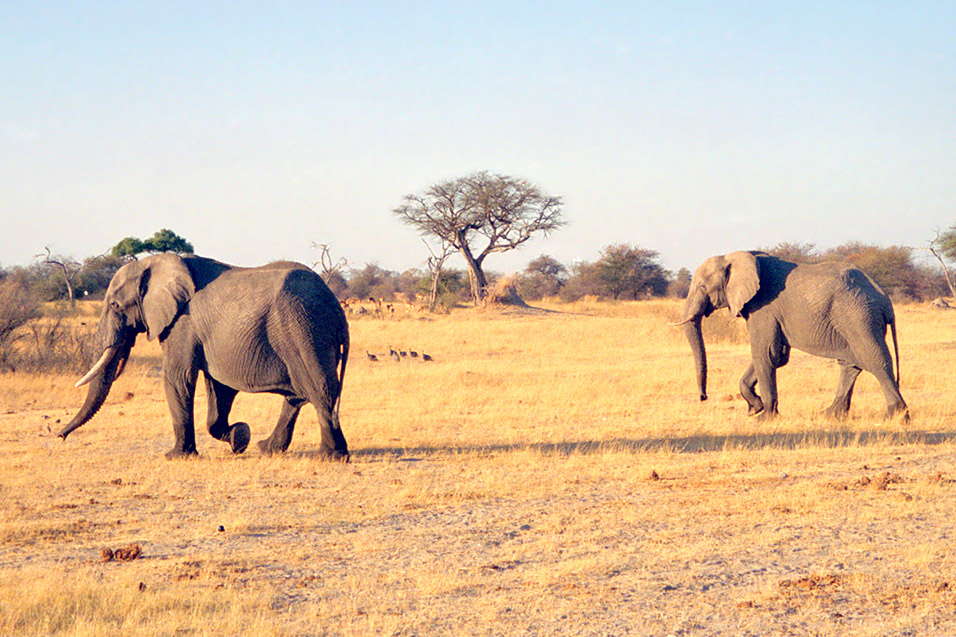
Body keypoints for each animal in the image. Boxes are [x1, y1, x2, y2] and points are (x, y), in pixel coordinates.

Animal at [56, 252, 350, 458]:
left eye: (115, 306)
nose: (60, 436)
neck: (157, 263)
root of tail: (337, 308)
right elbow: (219, 388)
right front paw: (240, 438)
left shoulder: (182, 323)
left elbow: (178, 377)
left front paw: (175, 456)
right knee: (298, 394)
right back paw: (267, 448)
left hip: (303, 329)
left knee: (318, 388)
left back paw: (330, 456)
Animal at [668, 251, 908, 420]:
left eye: (702, 286)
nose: (703, 397)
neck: (737, 256)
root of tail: (884, 299)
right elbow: (776, 355)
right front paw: (754, 409)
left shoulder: (763, 308)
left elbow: (764, 354)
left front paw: (764, 417)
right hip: (853, 318)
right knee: (851, 364)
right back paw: (829, 415)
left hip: (858, 316)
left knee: (875, 360)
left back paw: (896, 415)